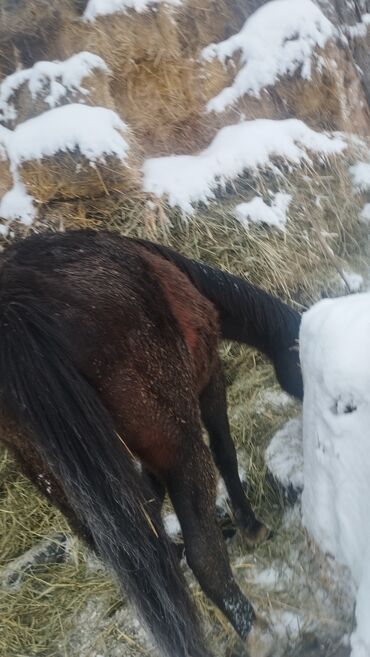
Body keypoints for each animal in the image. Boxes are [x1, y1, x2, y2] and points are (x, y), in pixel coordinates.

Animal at [0, 229, 302, 656]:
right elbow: (226, 452)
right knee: (204, 555)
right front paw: (251, 526)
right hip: (180, 448)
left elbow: (148, 504)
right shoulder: (209, 380)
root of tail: (17, 309)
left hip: (56, 478)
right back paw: (262, 634)